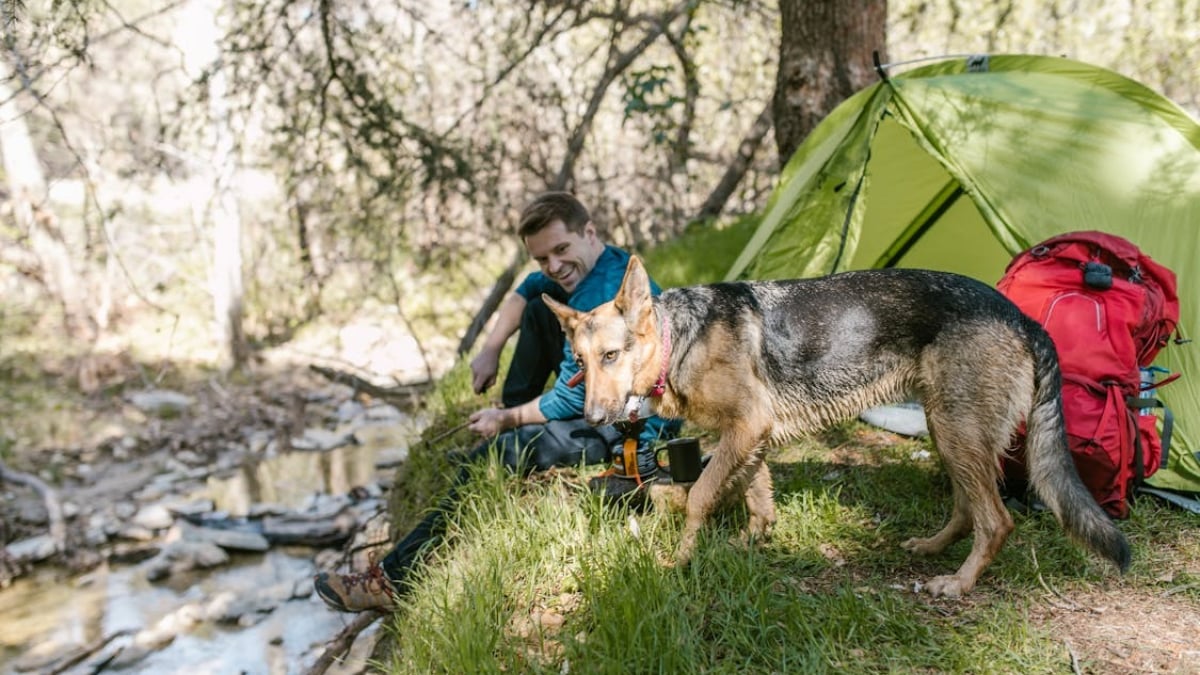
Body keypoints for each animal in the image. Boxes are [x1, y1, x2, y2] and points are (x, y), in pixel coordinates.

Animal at [549, 253, 1128, 593]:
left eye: (611, 356)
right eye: (579, 362)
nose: (593, 418)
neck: (679, 339)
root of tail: (1020, 316)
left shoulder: (745, 428)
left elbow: (701, 496)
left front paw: (680, 562)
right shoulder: (751, 436)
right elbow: (757, 497)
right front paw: (751, 542)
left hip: (957, 432)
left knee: (997, 521)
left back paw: (958, 583)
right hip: (950, 432)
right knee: (969, 509)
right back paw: (933, 549)